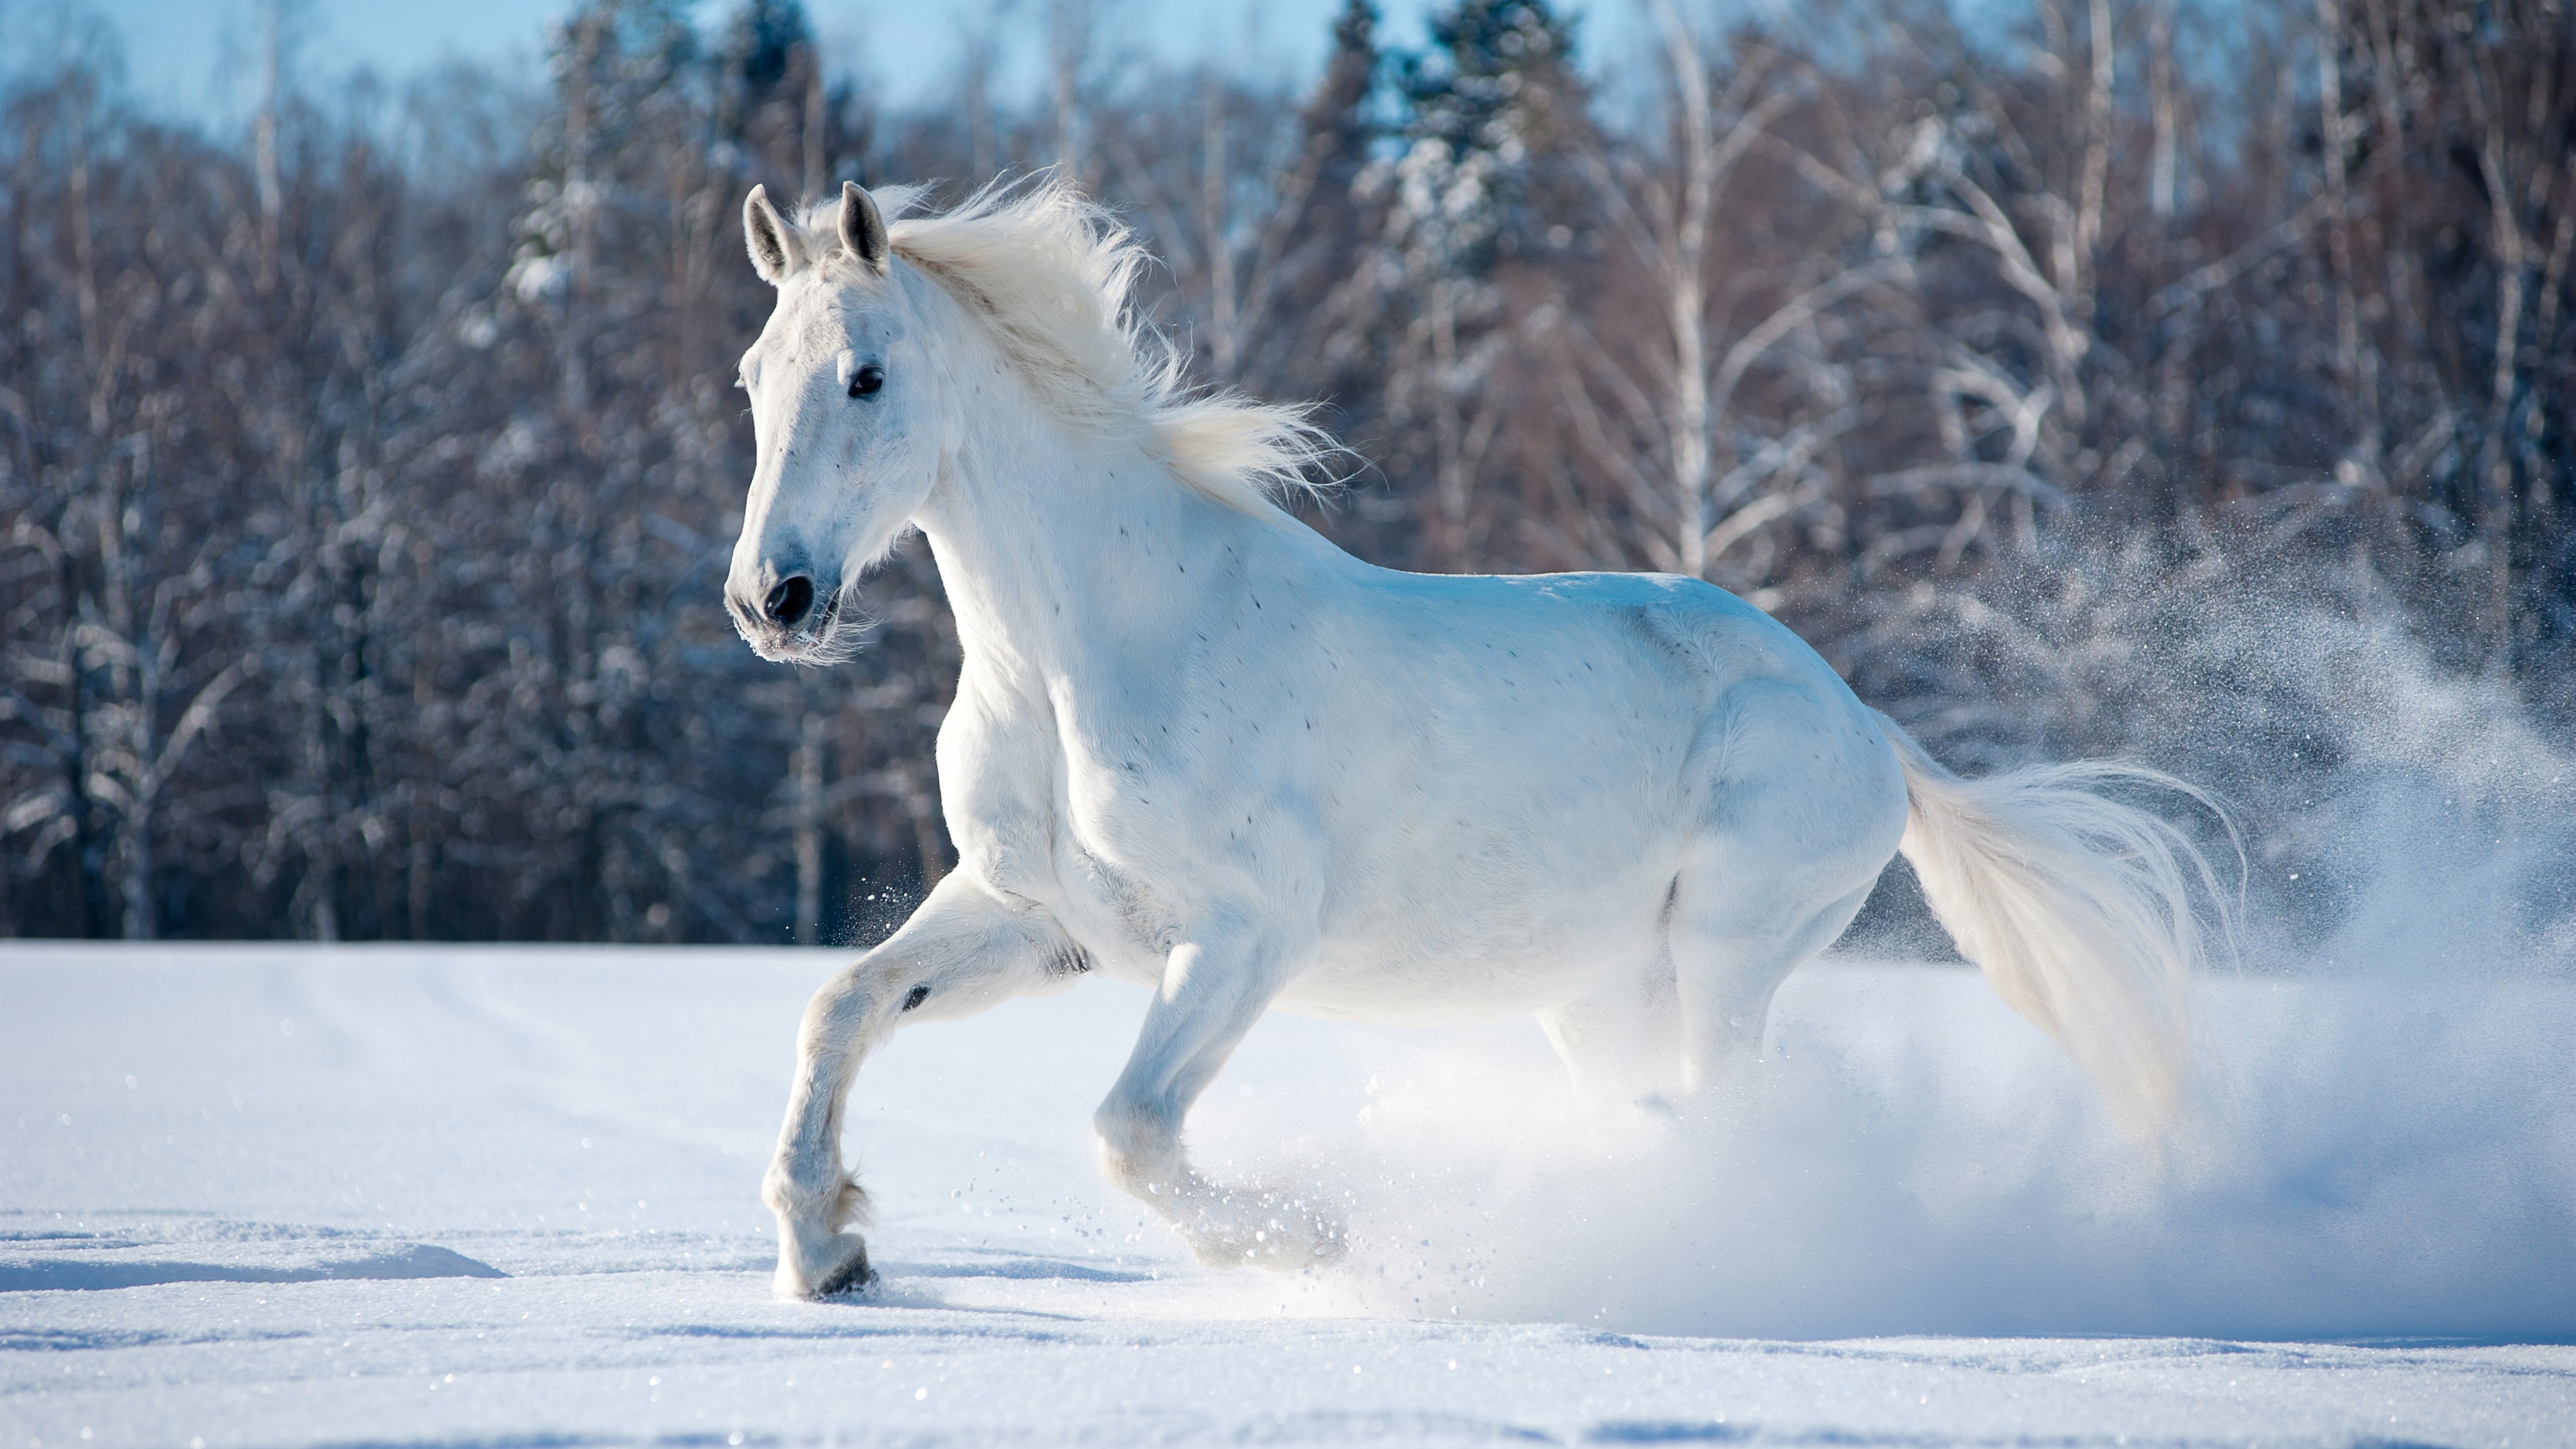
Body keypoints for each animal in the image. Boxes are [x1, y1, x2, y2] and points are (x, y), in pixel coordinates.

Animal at [721, 175, 2215, 1289]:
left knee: (1728, 1118)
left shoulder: (1247, 934)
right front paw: (827, 1251)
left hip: (1729, 953)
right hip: (1598, 993)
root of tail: (1864, 726)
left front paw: (1312, 1244)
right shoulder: (1038, 919)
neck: (1089, 653)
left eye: (865, 376)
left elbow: (1130, 1130)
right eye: (750, 376)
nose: (771, 599)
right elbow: (840, 1007)